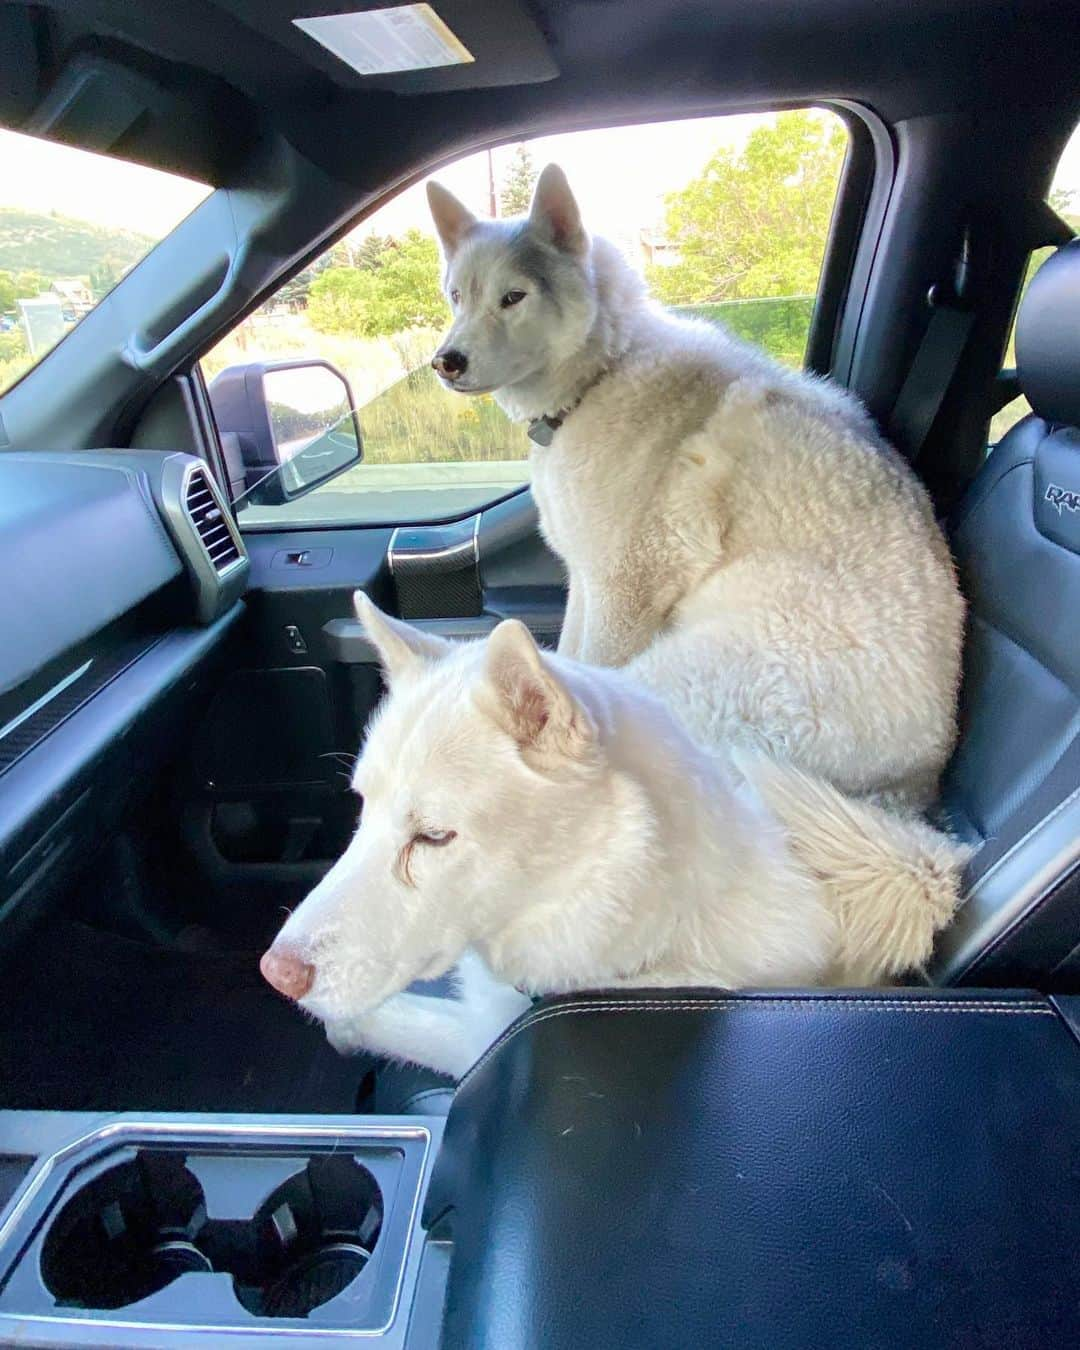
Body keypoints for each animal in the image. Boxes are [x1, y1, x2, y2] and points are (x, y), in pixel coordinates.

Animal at [263, 596, 972, 1080]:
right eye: (363, 808)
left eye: (433, 836)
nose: (276, 974)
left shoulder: (478, 1043)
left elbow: (391, 1017)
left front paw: (342, 1027)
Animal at [426, 163, 966, 804]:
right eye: (457, 295)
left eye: (513, 297)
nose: (446, 362)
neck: (603, 372)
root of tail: (914, 788)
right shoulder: (586, 580)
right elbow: (565, 653)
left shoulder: (625, 588)